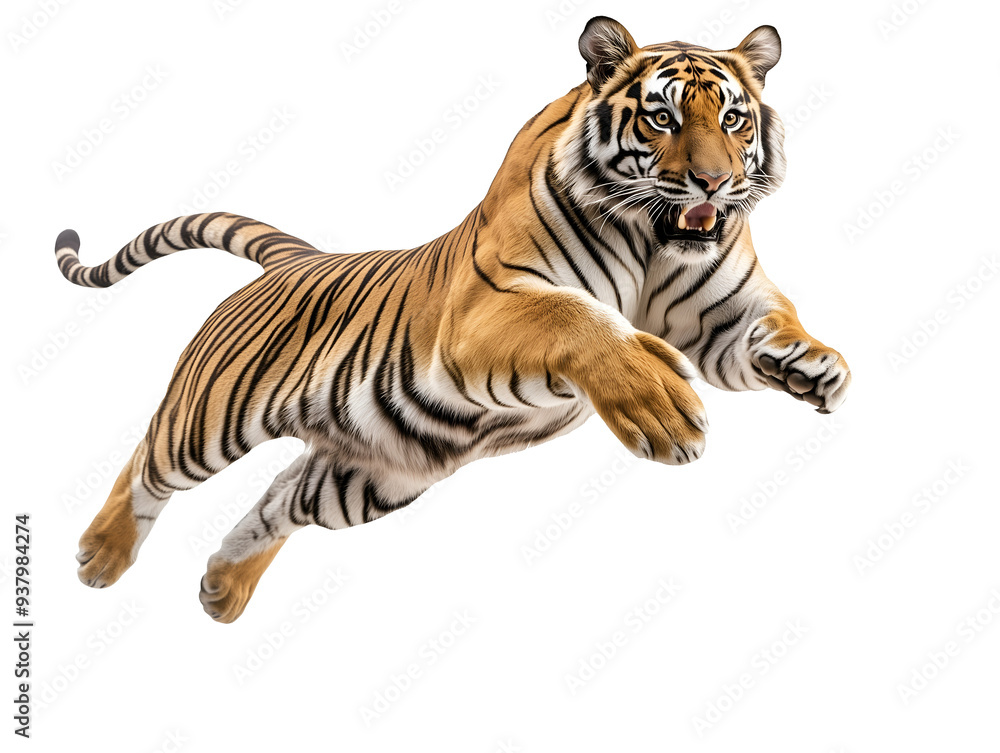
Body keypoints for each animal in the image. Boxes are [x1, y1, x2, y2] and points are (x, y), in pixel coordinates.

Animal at [56, 17, 850, 623]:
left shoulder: (722, 314)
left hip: (370, 477)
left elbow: (769, 328)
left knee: (282, 496)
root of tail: (295, 257)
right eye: (663, 117)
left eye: (733, 118)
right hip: (212, 417)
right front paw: (657, 404)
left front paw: (815, 368)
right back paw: (100, 558)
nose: (715, 182)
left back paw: (223, 589)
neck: (655, 240)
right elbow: (578, 319)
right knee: (148, 462)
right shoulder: (486, 310)